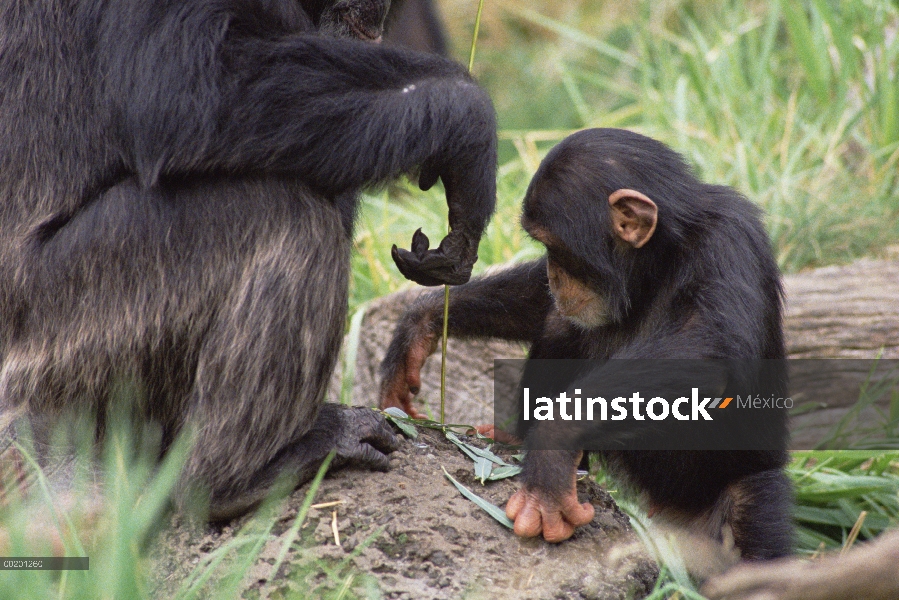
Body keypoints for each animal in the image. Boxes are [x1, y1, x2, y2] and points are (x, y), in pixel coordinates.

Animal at [0, 0, 500, 516]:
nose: (373, 27)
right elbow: (181, 88)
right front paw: (464, 118)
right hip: (71, 334)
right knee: (279, 212)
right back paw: (239, 478)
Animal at [384, 129, 792, 564]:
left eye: (555, 247)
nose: (553, 273)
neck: (660, 258)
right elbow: (541, 303)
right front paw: (418, 325)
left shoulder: (728, 243)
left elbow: (708, 347)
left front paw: (552, 448)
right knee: (560, 323)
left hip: (739, 494)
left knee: (751, 527)